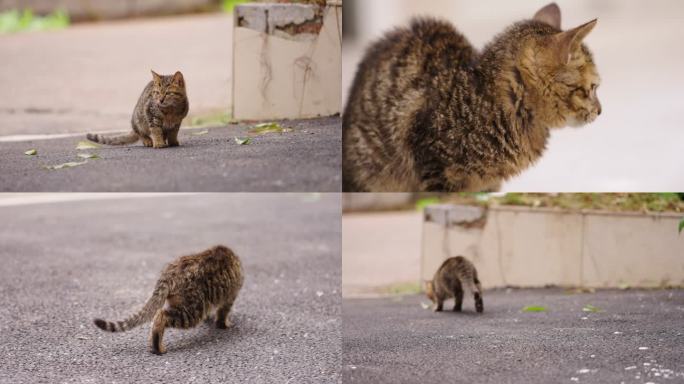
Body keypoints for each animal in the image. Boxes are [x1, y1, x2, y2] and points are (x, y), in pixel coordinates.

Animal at [93, 244, 243, 356]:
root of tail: (170, 271)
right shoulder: (230, 296)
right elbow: (223, 312)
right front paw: (223, 324)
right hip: (192, 310)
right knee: (161, 316)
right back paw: (158, 348)